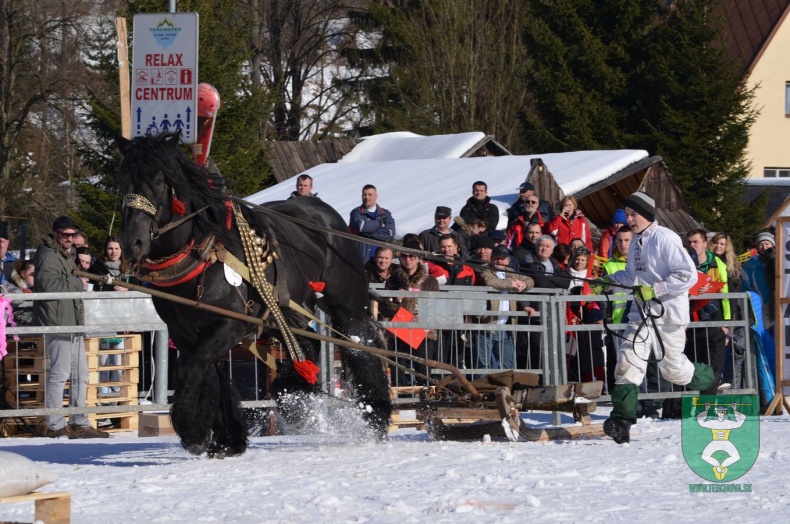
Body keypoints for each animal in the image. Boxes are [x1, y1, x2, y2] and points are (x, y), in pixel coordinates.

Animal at [114, 133, 392, 456]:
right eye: (123, 179)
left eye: (159, 180)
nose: (132, 243)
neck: (205, 252)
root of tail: (325, 212)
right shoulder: (186, 333)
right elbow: (210, 374)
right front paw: (228, 439)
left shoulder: (229, 324)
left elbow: (191, 367)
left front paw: (194, 431)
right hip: (286, 310)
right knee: (306, 345)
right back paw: (295, 393)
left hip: (345, 303)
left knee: (361, 345)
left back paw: (376, 415)